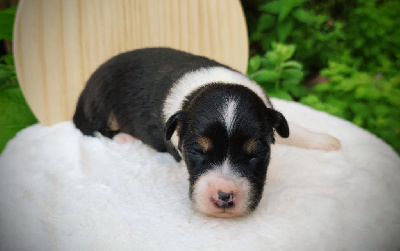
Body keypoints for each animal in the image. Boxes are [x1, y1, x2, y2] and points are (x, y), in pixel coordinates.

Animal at [73, 47, 340, 218]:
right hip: (100, 101)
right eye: (198, 151)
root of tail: (84, 89)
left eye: (256, 154)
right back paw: (122, 137)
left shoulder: (270, 114)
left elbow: (293, 129)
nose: (224, 197)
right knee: (90, 127)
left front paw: (326, 140)